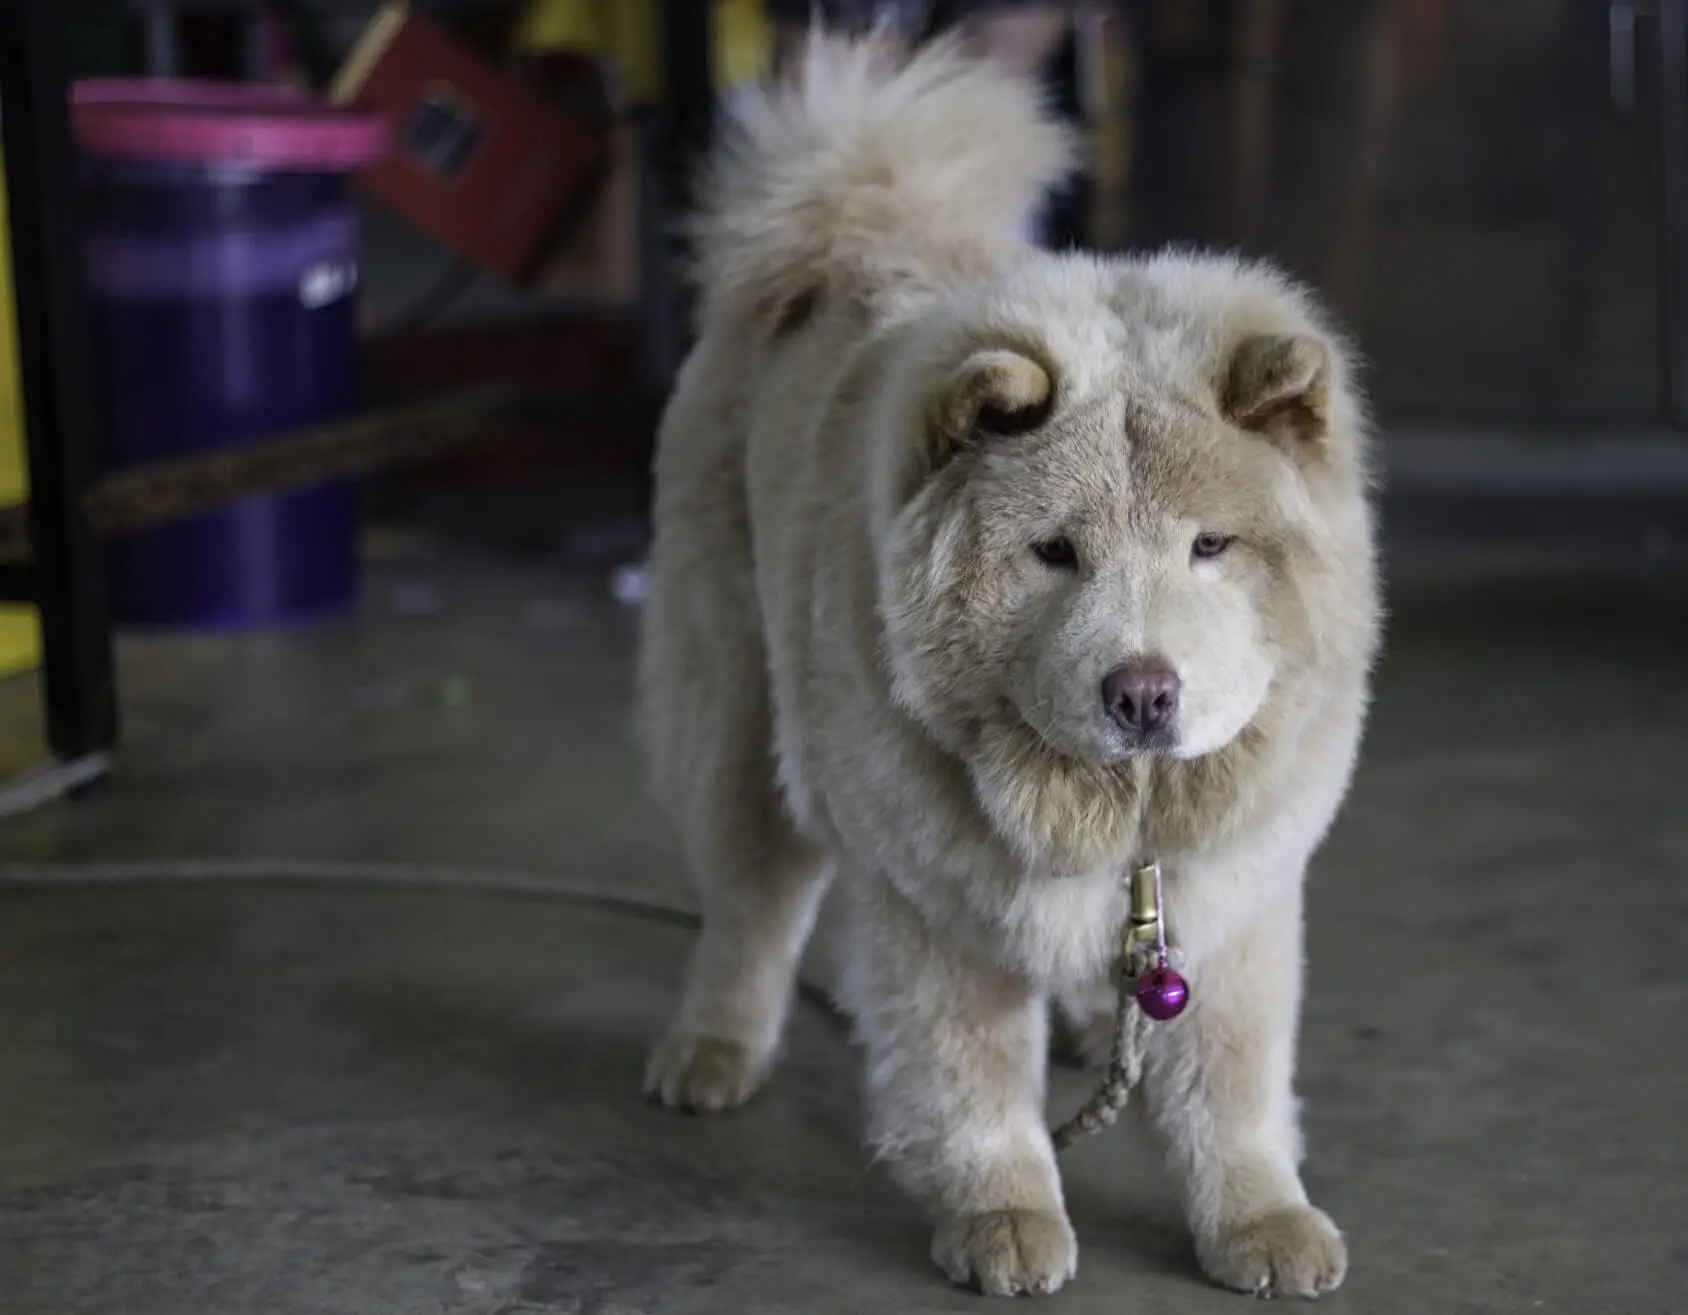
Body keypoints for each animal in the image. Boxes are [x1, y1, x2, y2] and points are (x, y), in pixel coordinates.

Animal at [638, 33, 1377, 1303]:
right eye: (1053, 553)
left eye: (1210, 547)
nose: (1142, 689)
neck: (1120, 816)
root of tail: (847, 224)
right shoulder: (938, 912)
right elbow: (976, 1087)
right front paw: (1003, 1223)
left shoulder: (1230, 901)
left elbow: (1229, 1090)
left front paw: (1263, 1224)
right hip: (733, 699)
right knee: (750, 899)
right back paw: (711, 1053)